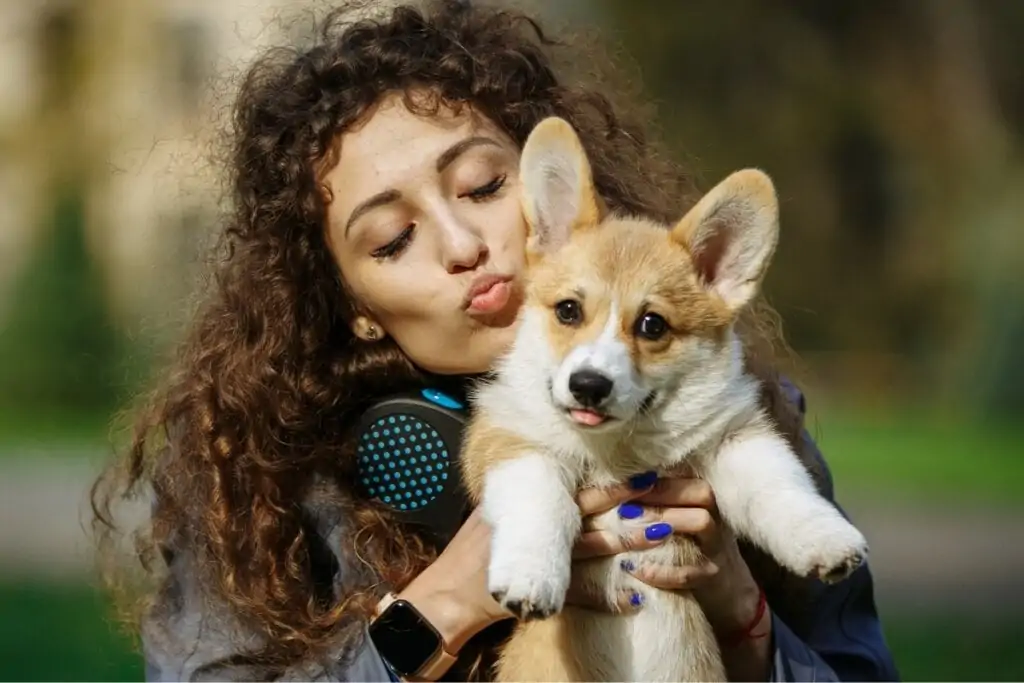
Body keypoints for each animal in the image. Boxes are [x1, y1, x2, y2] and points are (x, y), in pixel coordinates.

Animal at [460, 114, 868, 679]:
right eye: (568, 310)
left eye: (652, 325)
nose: (588, 384)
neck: (622, 449)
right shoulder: (509, 440)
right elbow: (542, 499)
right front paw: (530, 576)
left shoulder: (734, 440)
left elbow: (778, 487)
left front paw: (825, 540)